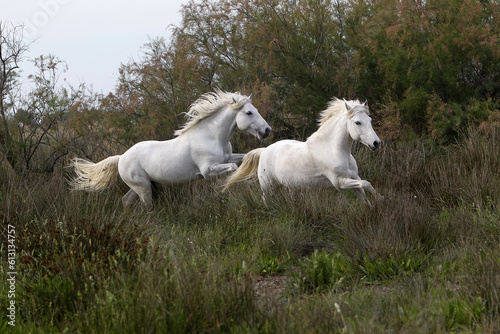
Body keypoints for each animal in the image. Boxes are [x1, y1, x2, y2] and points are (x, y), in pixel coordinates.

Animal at [69, 89, 272, 209]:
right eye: (248, 112)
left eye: (255, 110)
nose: (267, 130)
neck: (211, 136)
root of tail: (121, 157)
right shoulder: (207, 170)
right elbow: (234, 169)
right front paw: (235, 183)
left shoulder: (227, 158)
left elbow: (242, 159)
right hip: (143, 188)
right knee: (147, 207)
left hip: (138, 186)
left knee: (125, 201)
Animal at [225, 97, 380, 206]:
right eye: (357, 122)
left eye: (370, 120)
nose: (376, 143)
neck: (334, 150)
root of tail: (264, 151)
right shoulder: (340, 183)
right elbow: (367, 184)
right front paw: (381, 199)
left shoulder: (354, 177)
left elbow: (365, 195)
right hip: (269, 187)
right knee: (266, 200)